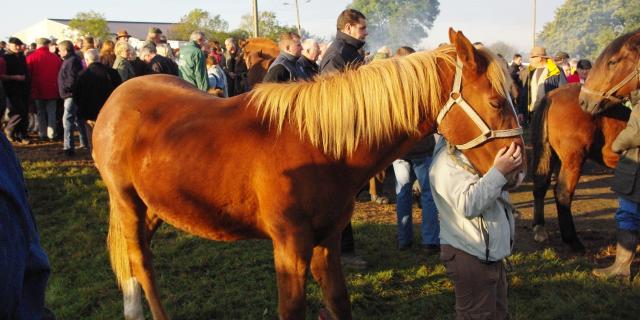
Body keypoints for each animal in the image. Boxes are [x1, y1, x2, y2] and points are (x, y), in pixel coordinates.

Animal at [95, 28, 524, 318]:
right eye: (497, 101)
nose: (516, 167)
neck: (316, 144)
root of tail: (117, 97)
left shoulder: (327, 240)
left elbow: (338, 301)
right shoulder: (289, 246)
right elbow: (292, 309)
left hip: (154, 206)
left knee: (136, 260)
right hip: (127, 201)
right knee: (141, 262)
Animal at [528, 83, 632, 252]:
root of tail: (552, 95)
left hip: (549, 154)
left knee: (540, 186)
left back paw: (539, 227)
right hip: (573, 160)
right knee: (562, 193)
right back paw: (572, 240)